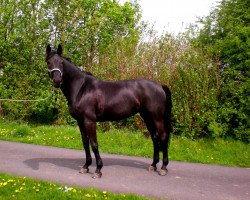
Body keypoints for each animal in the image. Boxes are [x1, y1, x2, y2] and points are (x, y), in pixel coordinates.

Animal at [45, 44, 172, 178]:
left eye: (61, 62)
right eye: (48, 62)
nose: (57, 81)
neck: (81, 88)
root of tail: (160, 86)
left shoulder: (89, 121)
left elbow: (94, 143)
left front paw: (98, 169)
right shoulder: (80, 121)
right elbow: (85, 143)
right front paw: (85, 166)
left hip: (157, 118)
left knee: (163, 137)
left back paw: (163, 167)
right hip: (147, 117)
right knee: (155, 138)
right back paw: (153, 165)